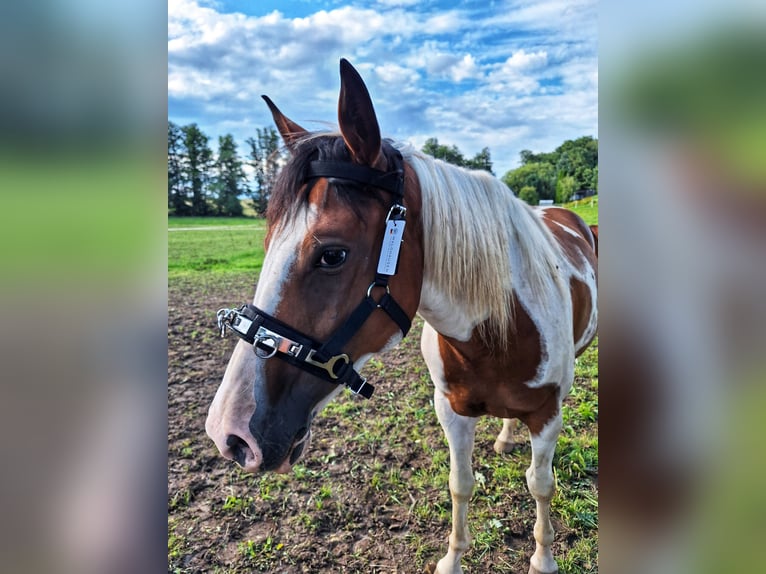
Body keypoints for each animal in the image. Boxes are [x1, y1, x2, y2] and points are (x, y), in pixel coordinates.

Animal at [207, 58, 596, 574]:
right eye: (267, 244)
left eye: (333, 254)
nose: (229, 434)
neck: (498, 332)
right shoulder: (450, 409)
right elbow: (460, 483)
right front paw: (452, 560)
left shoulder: (548, 414)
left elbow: (541, 485)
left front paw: (543, 559)